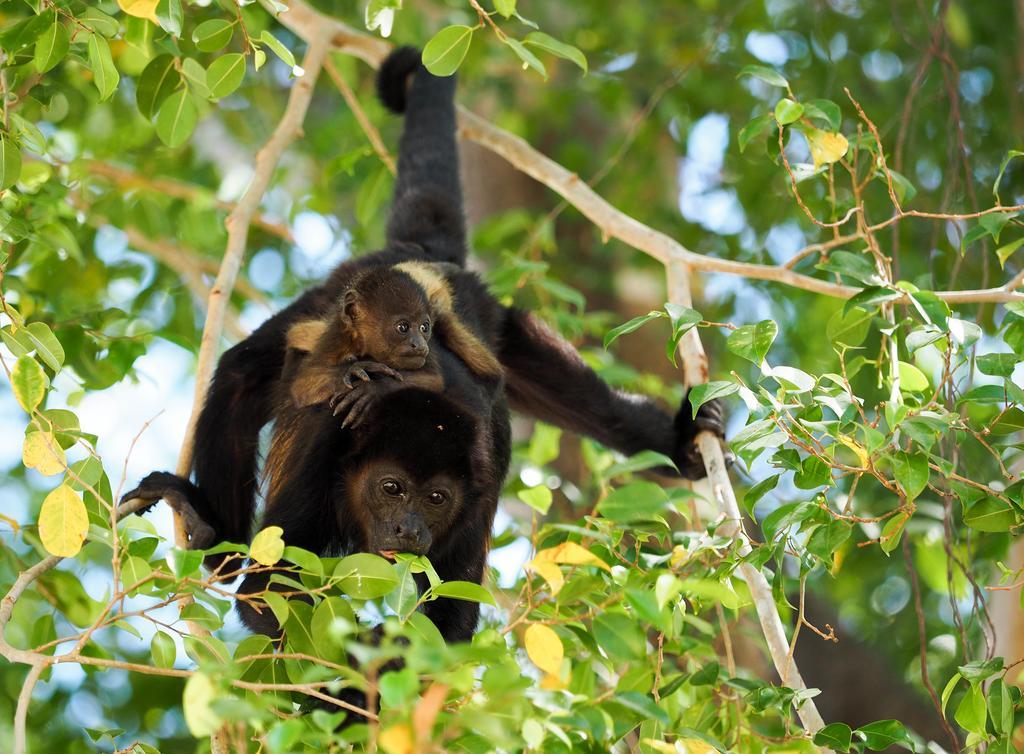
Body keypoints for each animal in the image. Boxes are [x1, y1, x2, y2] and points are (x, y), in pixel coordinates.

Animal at [284, 262, 499, 422]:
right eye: (403, 327)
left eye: (424, 327)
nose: (420, 345)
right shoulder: (338, 336)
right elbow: (302, 386)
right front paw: (353, 368)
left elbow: (433, 377)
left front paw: (375, 388)